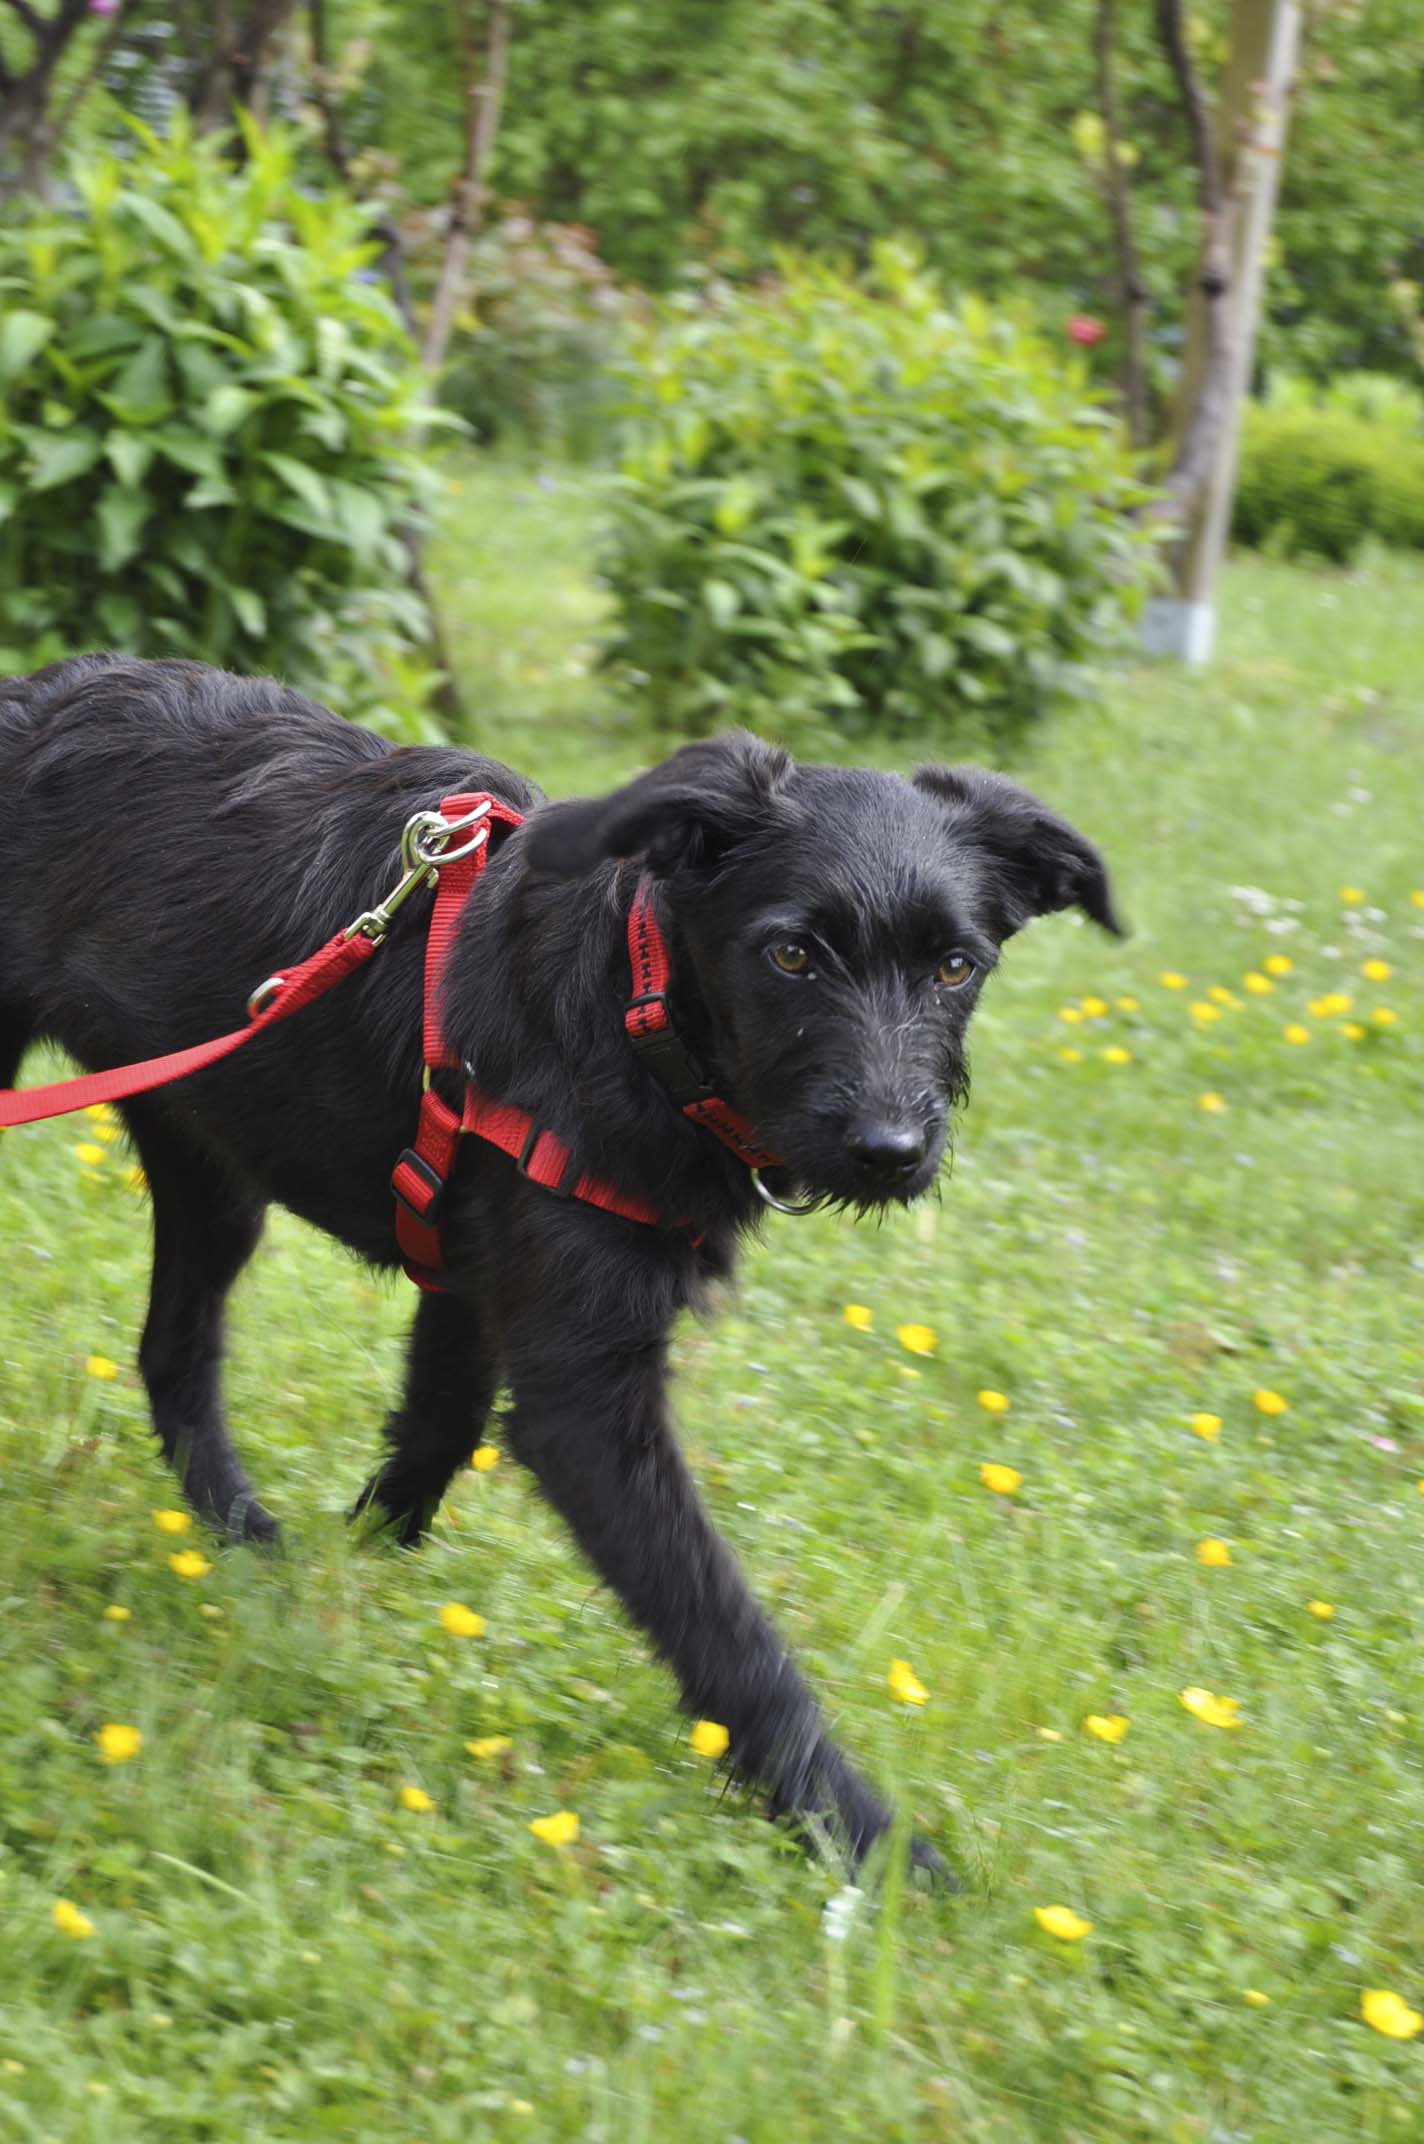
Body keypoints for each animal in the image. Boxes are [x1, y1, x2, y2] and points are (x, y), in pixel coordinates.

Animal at [0, 653, 1121, 1873]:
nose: (889, 1151)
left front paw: (362, 1566)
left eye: (956, 965)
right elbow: (721, 1624)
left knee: (174, 1346)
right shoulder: (587, 1398)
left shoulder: (467, 1273)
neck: (637, 1015)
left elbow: (437, 1428)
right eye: (789, 953)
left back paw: (236, 1530)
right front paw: (861, 1836)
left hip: (208, 1161)